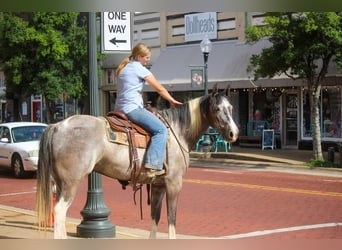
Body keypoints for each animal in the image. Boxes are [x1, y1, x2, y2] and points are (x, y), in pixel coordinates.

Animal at [34, 84, 238, 238]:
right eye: (217, 109)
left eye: (231, 108)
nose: (233, 133)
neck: (176, 131)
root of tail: (57, 125)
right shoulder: (174, 183)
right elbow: (171, 219)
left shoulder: (158, 185)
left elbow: (155, 218)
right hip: (71, 182)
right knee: (60, 211)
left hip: (60, 182)